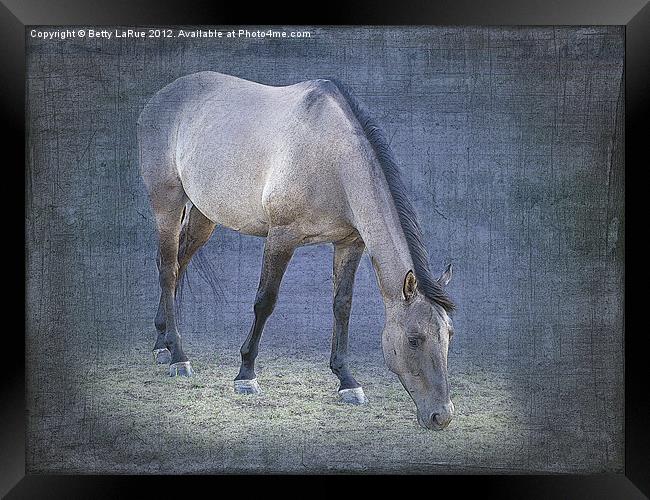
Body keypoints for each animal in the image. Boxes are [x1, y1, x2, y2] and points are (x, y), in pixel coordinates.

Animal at [136, 70, 454, 430]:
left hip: (205, 216)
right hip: (167, 203)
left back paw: (162, 344)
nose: (441, 415)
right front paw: (246, 374)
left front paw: (347, 381)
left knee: (178, 266)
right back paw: (178, 356)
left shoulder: (349, 243)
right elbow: (265, 302)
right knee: (167, 269)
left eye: (448, 335)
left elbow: (342, 306)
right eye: (414, 338)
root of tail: (160, 97)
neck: (332, 158)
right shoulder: (281, 237)